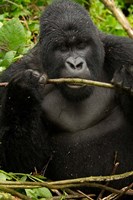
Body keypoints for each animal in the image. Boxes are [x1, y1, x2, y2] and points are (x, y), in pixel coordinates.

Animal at [0, 0, 133, 196]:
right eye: (62, 48)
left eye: (81, 45)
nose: (75, 64)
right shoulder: (9, 78)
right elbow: (20, 167)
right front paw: (23, 95)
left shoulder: (124, 50)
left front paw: (130, 77)